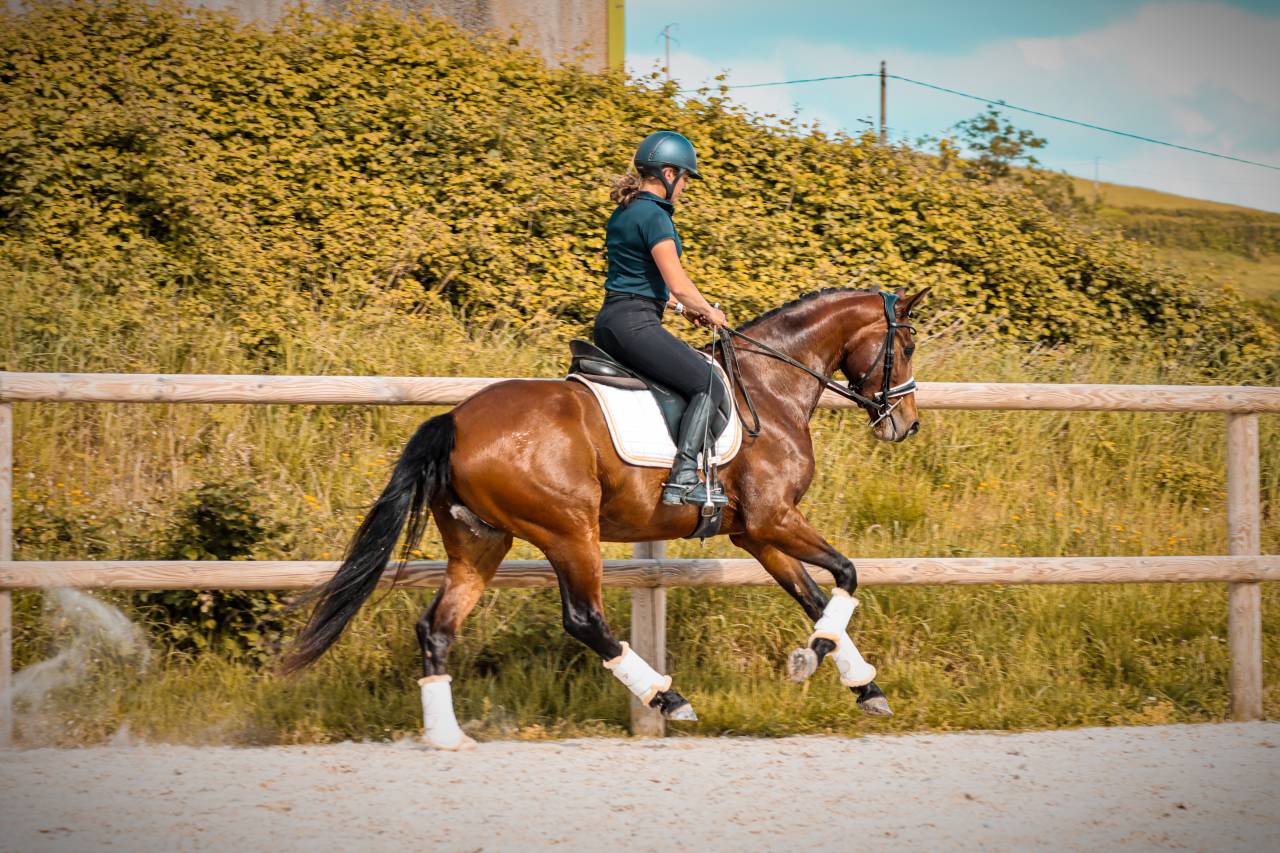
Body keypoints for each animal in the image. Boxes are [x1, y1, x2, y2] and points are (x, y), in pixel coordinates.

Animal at [282, 286, 927, 749]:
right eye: (907, 346)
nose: (906, 425)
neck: (771, 387)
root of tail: (455, 421)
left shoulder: (755, 533)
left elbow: (816, 598)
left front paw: (863, 685)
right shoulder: (774, 519)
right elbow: (846, 576)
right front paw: (809, 661)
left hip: (479, 542)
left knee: (436, 627)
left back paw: (446, 736)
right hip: (570, 532)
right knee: (584, 619)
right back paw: (667, 699)